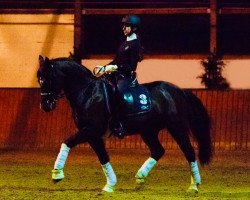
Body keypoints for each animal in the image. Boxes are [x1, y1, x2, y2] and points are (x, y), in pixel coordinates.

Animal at [38, 55, 212, 193]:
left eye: (47, 78)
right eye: (39, 79)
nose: (45, 105)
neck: (87, 92)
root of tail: (179, 90)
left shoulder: (91, 130)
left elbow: (66, 142)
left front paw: (57, 173)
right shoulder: (92, 135)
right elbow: (103, 157)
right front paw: (110, 185)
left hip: (177, 127)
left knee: (189, 152)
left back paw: (194, 186)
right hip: (148, 131)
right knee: (158, 150)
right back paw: (140, 178)